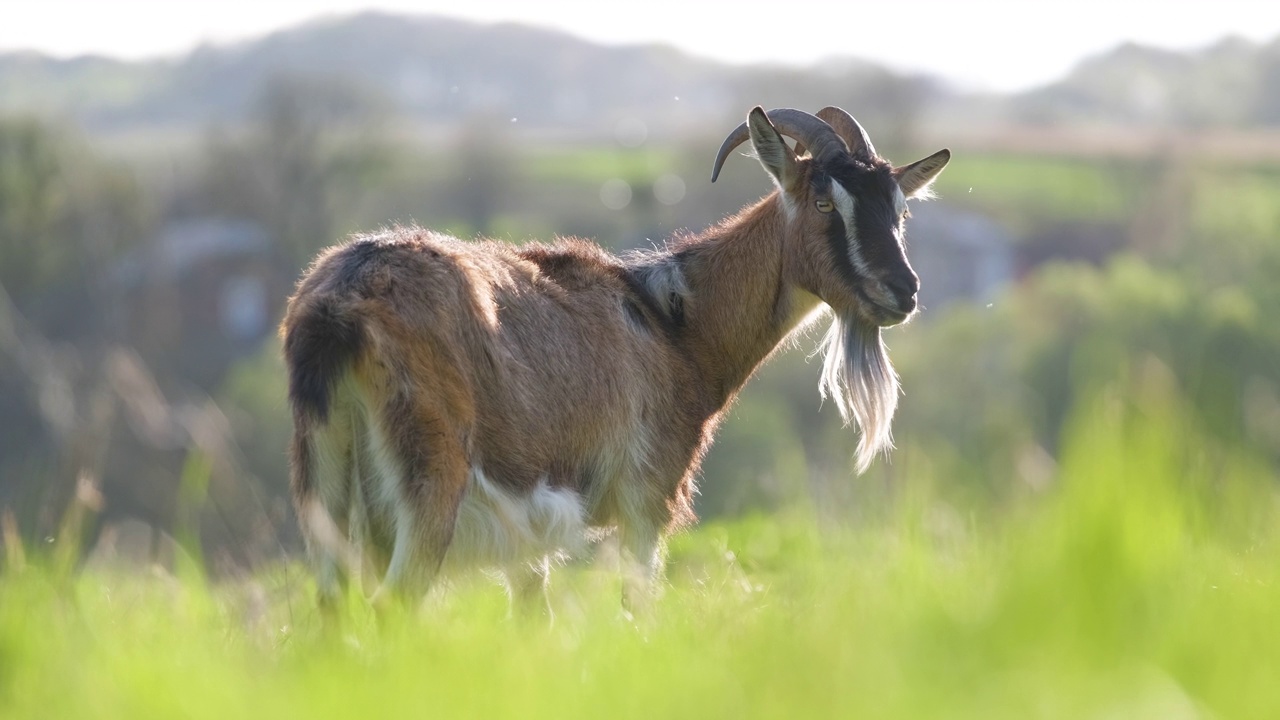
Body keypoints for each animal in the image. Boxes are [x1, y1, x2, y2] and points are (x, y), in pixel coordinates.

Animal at [282, 105, 952, 609]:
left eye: (899, 209)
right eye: (823, 203)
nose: (903, 291)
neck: (675, 323)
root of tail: (340, 304)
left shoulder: (531, 542)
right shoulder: (644, 499)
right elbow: (639, 608)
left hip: (327, 488)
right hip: (427, 487)